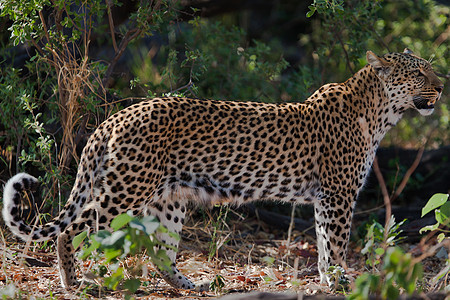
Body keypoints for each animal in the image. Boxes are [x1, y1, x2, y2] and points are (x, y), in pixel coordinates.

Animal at [1, 49, 444, 290]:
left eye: (431, 70)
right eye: (419, 72)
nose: (442, 86)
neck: (381, 112)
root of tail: (113, 119)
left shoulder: (325, 198)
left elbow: (321, 244)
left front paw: (326, 281)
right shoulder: (338, 195)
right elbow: (335, 245)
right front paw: (340, 283)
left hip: (168, 200)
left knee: (161, 252)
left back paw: (191, 285)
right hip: (125, 192)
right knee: (73, 231)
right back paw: (73, 282)